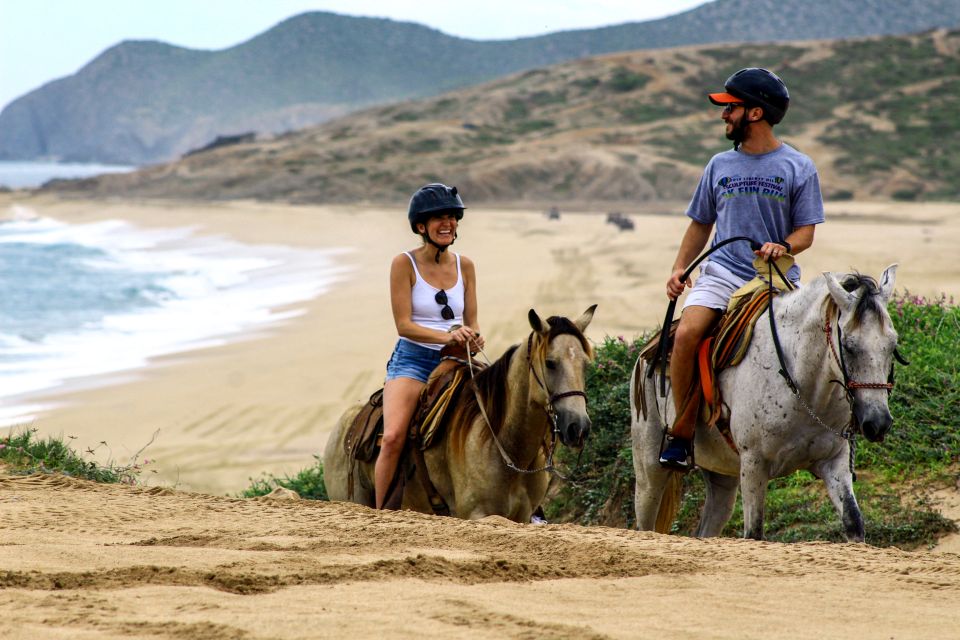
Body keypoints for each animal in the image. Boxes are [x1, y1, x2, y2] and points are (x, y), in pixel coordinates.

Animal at [324, 308, 592, 524]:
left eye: (585, 364)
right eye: (550, 363)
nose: (578, 427)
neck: (506, 446)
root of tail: (344, 428)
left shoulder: (522, 515)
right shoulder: (476, 513)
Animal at [636, 264, 900, 540]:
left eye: (893, 344)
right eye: (848, 346)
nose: (878, 423)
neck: (805, 391)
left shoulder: (835, 461)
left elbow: (853, 521)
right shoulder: (754, 465)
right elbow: (754, 532)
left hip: (722, 478)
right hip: (649, 471)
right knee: (645, 523)